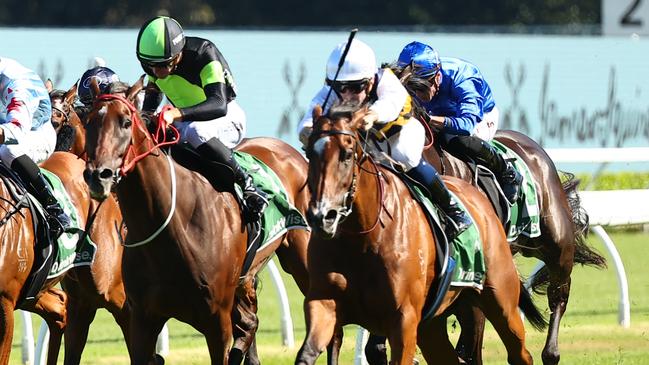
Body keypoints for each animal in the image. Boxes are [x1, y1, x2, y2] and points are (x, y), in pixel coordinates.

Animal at [81, 80, 312, 364]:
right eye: (88, 122)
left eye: (125, 122)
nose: (98, 176)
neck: (172, 227)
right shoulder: (142, 320)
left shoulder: (217, 322)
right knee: (250, 323)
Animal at [296, 101, 544, 364]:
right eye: (309, 153)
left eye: (347, 153)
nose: (323, 216)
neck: (362, 236)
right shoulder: (324, 303)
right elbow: (307, 353)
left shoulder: (403, 320)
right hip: (432, 325)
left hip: (501, 301)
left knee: (520, 353)